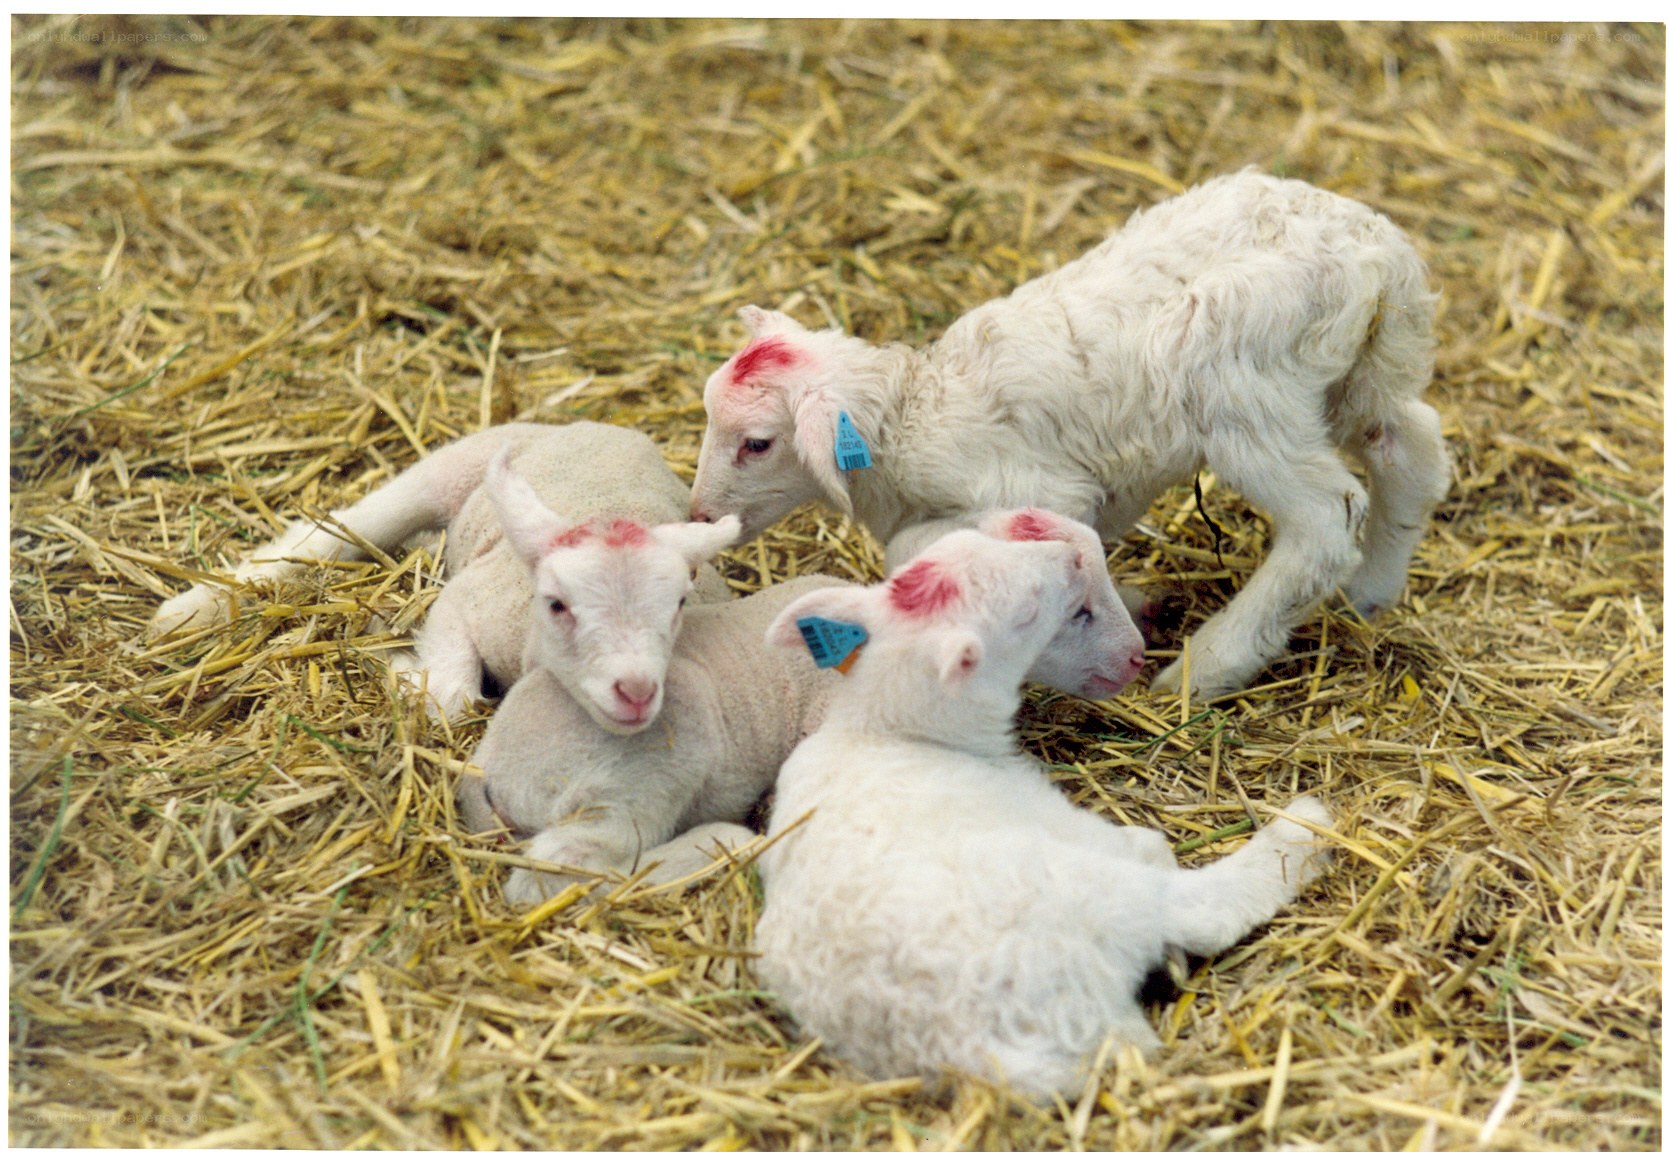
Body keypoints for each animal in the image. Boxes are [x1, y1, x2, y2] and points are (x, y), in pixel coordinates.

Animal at [150, 421, 741, 728]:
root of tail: (598, 426)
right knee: (343, 528)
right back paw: (191, 610)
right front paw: (400, 668)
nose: (637, 691)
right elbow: (452, 699)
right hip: (451, 468)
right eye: (557, 604)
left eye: (678, 607)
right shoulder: (467, 602)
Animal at [459, 505, 1145, 904]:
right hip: (641, 770)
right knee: (554, 871)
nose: (1138, 658)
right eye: (1074, 612)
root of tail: (491, 768)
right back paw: (716, 844)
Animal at [688, 169, 1451, 698]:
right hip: (1362, 371)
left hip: (1246, 394)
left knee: (1324, 519)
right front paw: (1136, 602)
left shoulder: (1038, 488)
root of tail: (1376, 255)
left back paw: (1205, 668)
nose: (699, 515)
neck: (910, 411)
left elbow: (930, 549)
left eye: (756, 443)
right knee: (1411, 446)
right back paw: (1371, 591)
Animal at [751, 528, 1334, 1099]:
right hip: (1087, 897)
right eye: (1028, 609)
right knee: (1203, 910)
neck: (888, 729)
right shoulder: (1045, 811)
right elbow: (1146, 844)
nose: (1070, 553)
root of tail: (973, 1049)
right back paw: (1301, 830)